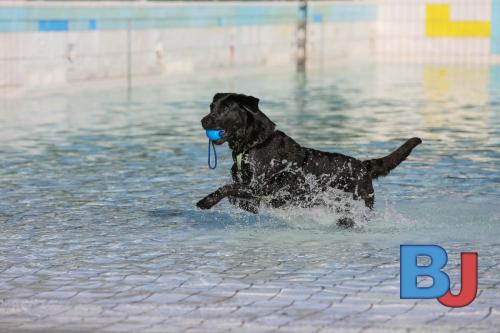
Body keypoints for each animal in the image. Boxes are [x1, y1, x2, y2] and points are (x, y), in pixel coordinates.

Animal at [196, 92, 422, 224]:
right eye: (211, 106)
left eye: (226, 108)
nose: (203, 120)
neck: (254, 143)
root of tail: (363, 166)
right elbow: (236, 194)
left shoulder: (259, 187)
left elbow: (227, 188)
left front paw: (206, 201)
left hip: (360, 199)